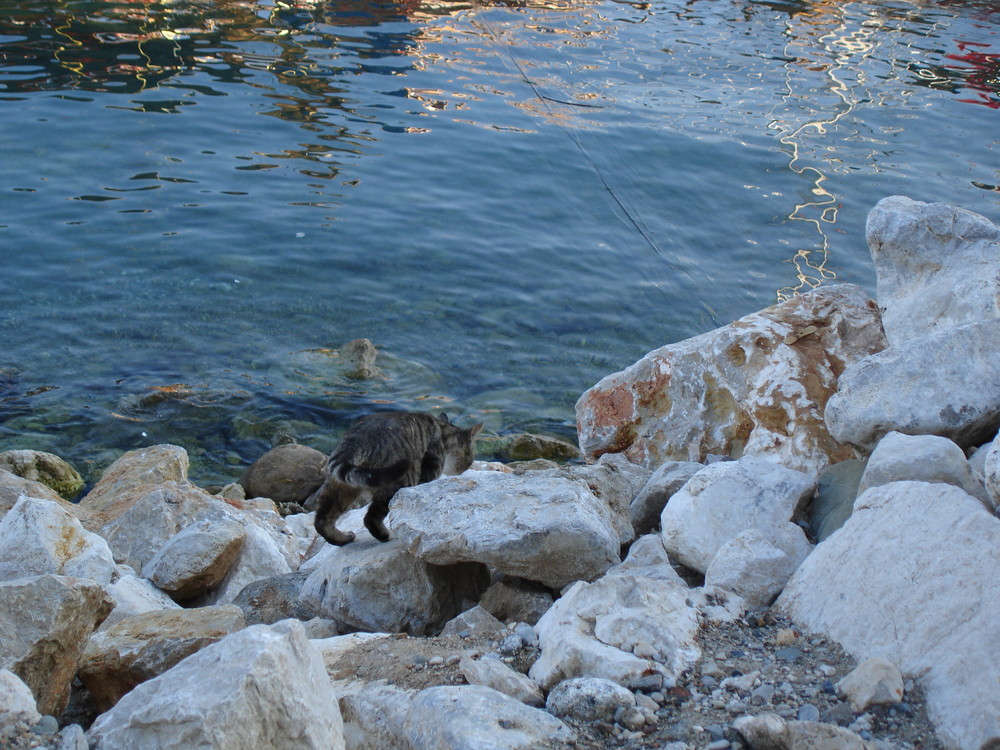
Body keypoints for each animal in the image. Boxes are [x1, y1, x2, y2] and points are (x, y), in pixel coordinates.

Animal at [312, 412, 484, 548]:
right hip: (397, 481)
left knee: (322, 521)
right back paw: (385, 535)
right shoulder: (428, 470)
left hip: (340, 486)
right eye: (470, 457)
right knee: (370, 518)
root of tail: (354, 442)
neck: (443, 430)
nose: (463, 470)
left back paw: (343, 538)